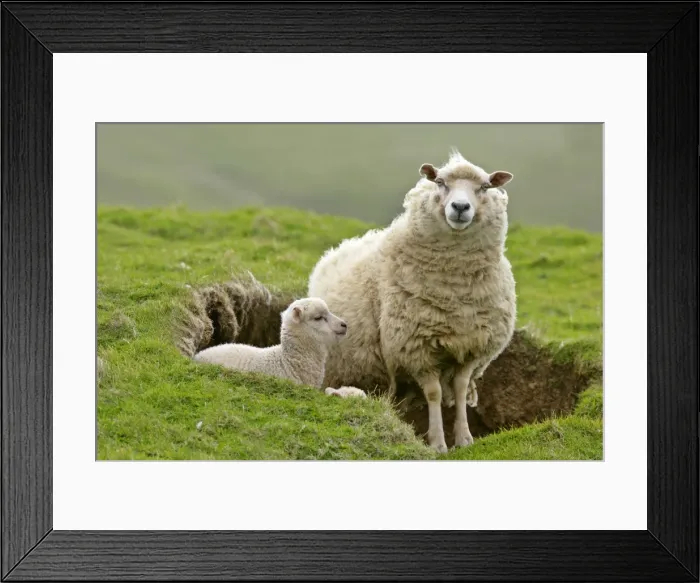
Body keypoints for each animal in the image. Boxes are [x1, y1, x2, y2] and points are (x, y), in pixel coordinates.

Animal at [308, 149, 516, 452]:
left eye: (485, 187)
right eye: (440, 182)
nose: (460, 207)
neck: (454, 290)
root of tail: (340, 248)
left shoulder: (471, 345)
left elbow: (460, 388)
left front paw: (464, 438)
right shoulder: (416, 348)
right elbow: (434, 393)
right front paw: (438, 443)